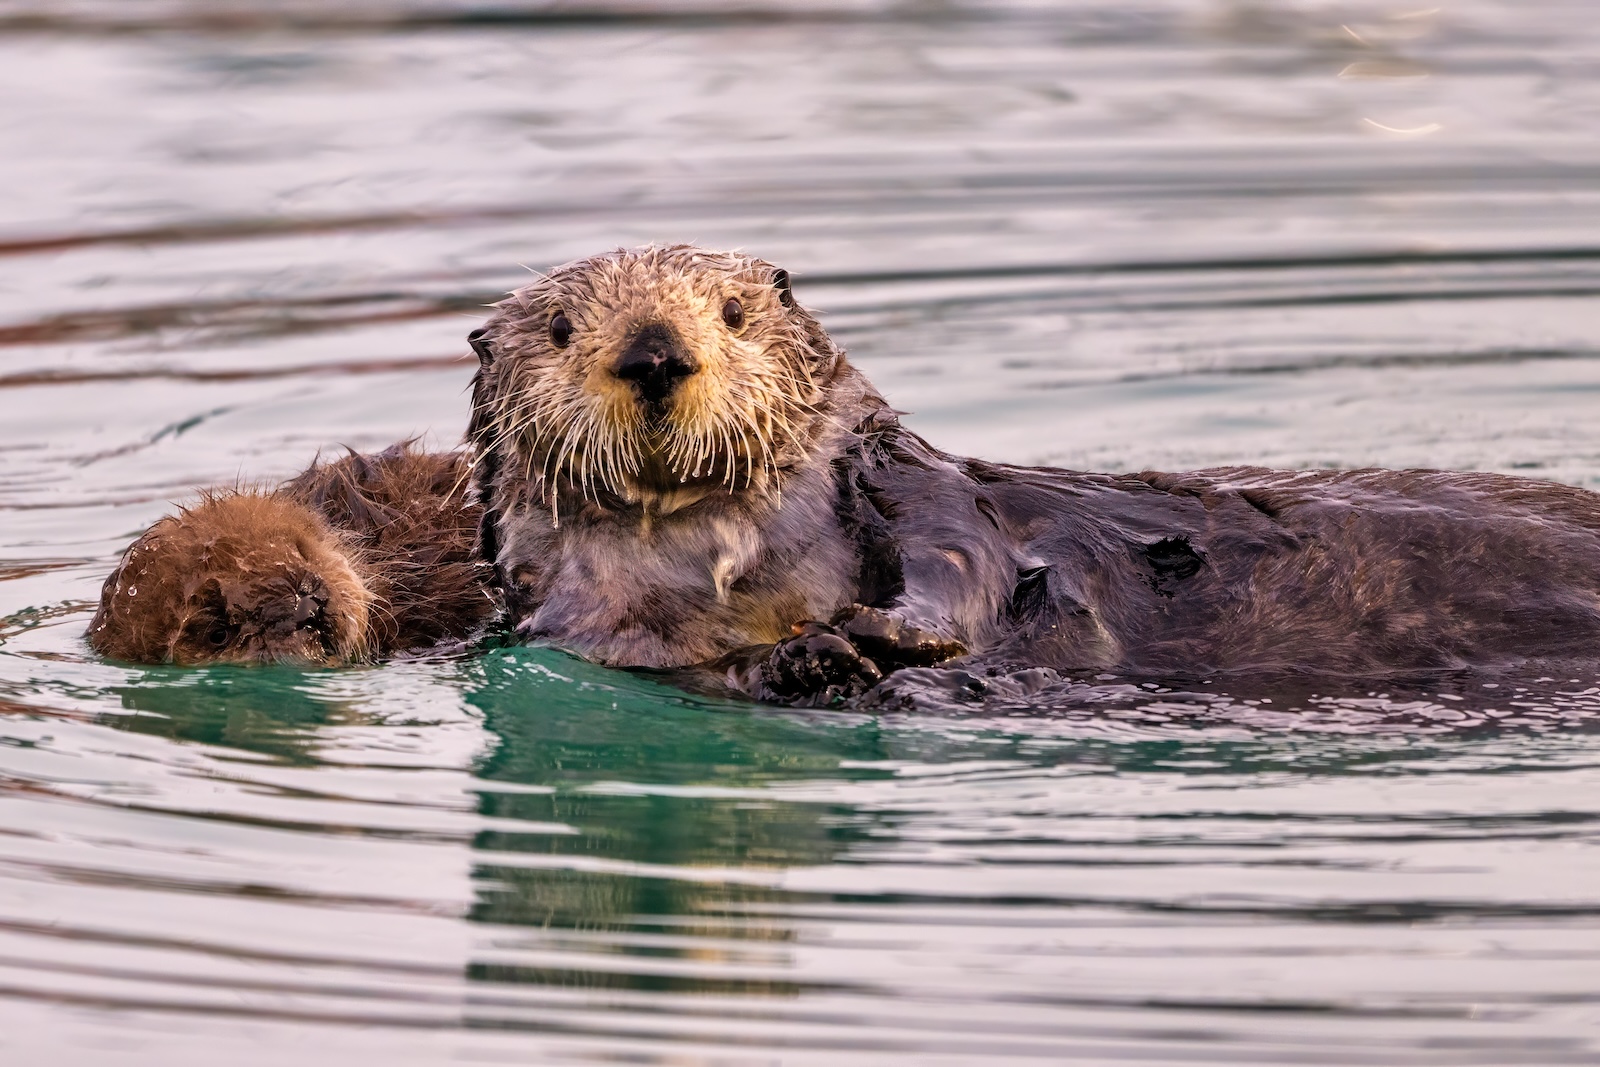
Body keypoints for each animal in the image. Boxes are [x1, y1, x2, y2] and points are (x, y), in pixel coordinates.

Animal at [467, 244, 1600, 706]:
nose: (655, 352)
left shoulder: (894, 478)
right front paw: (811, 660)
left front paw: (888, 632)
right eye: (562, 329)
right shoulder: (611, 643)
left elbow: (958, 559)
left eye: (735, 315)